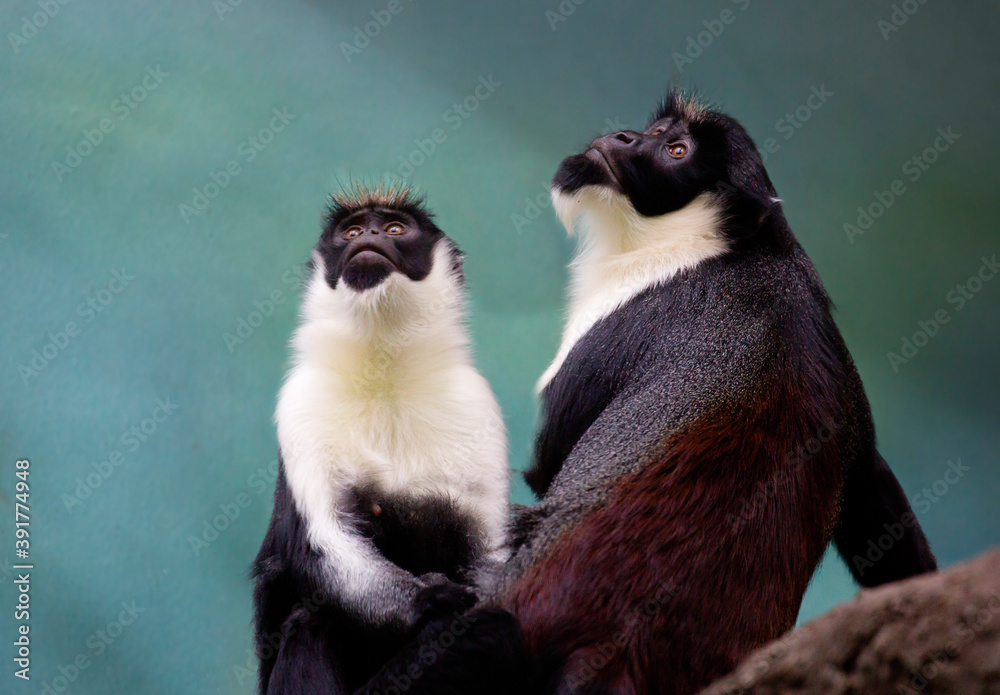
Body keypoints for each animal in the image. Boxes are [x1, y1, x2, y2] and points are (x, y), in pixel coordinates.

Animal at [251, 183, 513, 695]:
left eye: (394, 228)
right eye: (352, 232)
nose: (370, 237)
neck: (384, 370)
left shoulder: (477, 405)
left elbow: (489, 554)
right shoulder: (301, 405)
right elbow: (324, 541)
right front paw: (429, 603)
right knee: (310, 622)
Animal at [491, 89, 938, 695]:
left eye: (677, 151)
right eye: (659, 129)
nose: (627, 137)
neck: (723, 245)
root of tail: (610, 654)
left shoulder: (610, 333)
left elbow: (545, 466)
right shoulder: (849, 398)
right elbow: (879, 505)